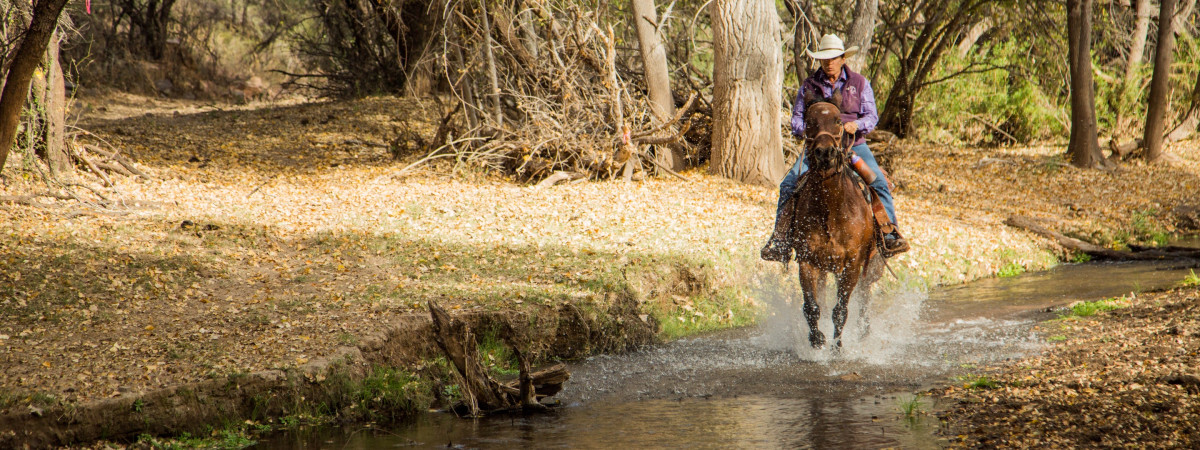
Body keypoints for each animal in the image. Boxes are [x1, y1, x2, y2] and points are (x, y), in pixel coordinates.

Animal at [782, 90, 888, 350]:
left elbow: (840, 310)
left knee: (863, 300)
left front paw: (837, 347)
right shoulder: (808, 261)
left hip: (872, 267)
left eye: (839, 121)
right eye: (809, 122)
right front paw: (816, 339)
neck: (831, 210)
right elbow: (812, 306)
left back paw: (863, 333)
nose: (825, 152)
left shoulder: (852, 265)